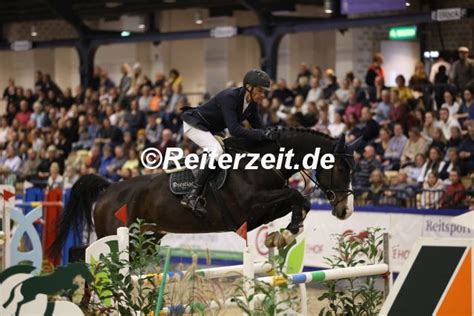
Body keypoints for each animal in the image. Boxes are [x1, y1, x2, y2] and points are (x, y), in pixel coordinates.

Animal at [51, 127, 360, 253]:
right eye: (340, 169)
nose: (346, 211)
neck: (261, 162)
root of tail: (108, 190)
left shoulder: (262, 210)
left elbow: (299, 202)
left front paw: (282, 235)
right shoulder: (248, 209)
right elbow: (297, 196)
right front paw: (285, 234)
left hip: (147, 238)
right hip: (113, 235)